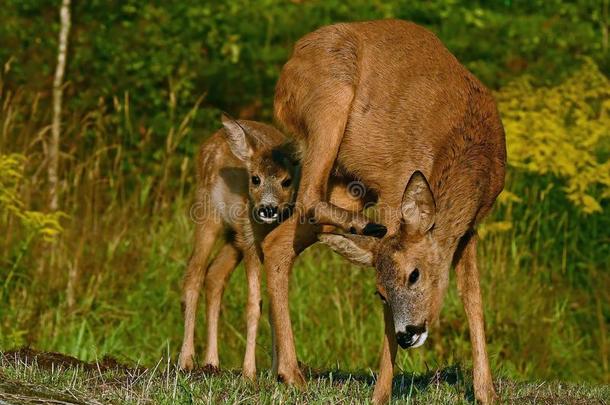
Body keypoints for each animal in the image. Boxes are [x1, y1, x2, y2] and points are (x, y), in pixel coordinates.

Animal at [177, 112, 298, 378]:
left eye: (286, 181)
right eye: (256, 178)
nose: (267, 209)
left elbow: (274, 304)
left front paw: (276, 371)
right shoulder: (250, 241)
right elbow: (254, 304)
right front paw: (249, 372)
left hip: (233, 238)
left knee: (214, 274)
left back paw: (211, 361)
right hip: (208, 213)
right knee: (194, 273)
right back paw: (186, 360)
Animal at [262, 19, 504, 404]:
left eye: (414, 275)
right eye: (380, 293)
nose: (409, 333)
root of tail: (290, 63)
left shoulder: (470, 228)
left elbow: (474, 299)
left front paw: (486, 392)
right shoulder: (395, 190)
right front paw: (380, 394)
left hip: (348, 182)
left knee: (278, 242)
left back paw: (290, 374)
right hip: (331, 102)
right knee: (308, 198)